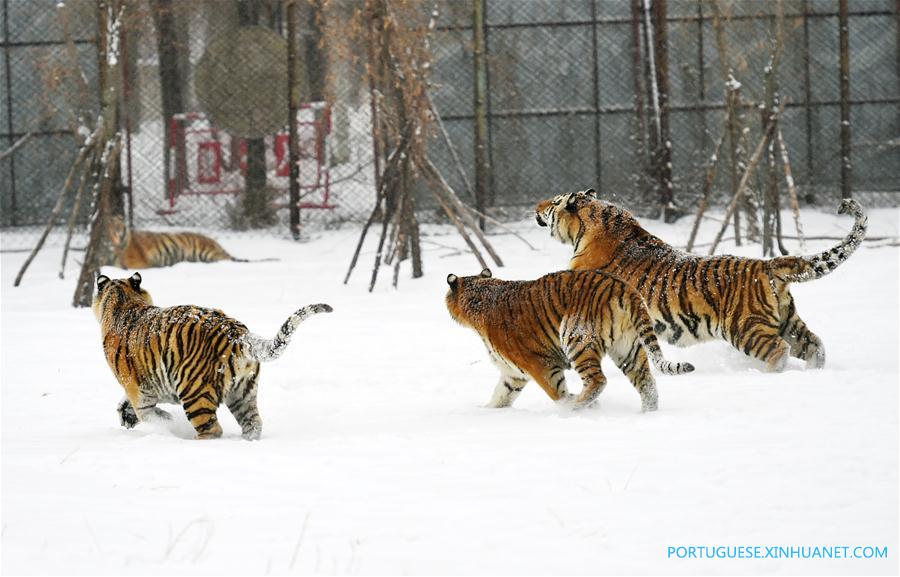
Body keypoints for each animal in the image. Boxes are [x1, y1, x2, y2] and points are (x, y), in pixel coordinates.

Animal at [93, 272, 332, 438]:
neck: (124, 301)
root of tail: (238, 334)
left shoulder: (140, 392)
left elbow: (151, 415)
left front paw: (167, 423)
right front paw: (125, 415)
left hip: (194, 391)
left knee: (212, 429)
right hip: (243, 393)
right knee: (253, 423)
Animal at [104, 215, 276, 268]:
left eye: (119, 226)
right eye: (111, 227)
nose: (119, 233)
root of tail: (216, 243)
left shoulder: (138, 263)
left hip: (205, 252)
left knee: (224, 260)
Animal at [446, 268, 692, 412]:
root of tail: (624, 287)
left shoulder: (540, 364)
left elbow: (558, 393)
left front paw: (569, 406)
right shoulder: (513, 373)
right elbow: (500, 395)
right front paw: (485, 411)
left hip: (576, 339)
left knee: (597, 381)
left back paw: (576, 407)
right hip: (628, 348)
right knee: (647, 382)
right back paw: (647, 415)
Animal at [536, 187, 864, 372]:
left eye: (553, 202)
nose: (536, 208)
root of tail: (767, 264)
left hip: (745, 328)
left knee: (778, 351)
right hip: (787, 322)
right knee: (815, 345)